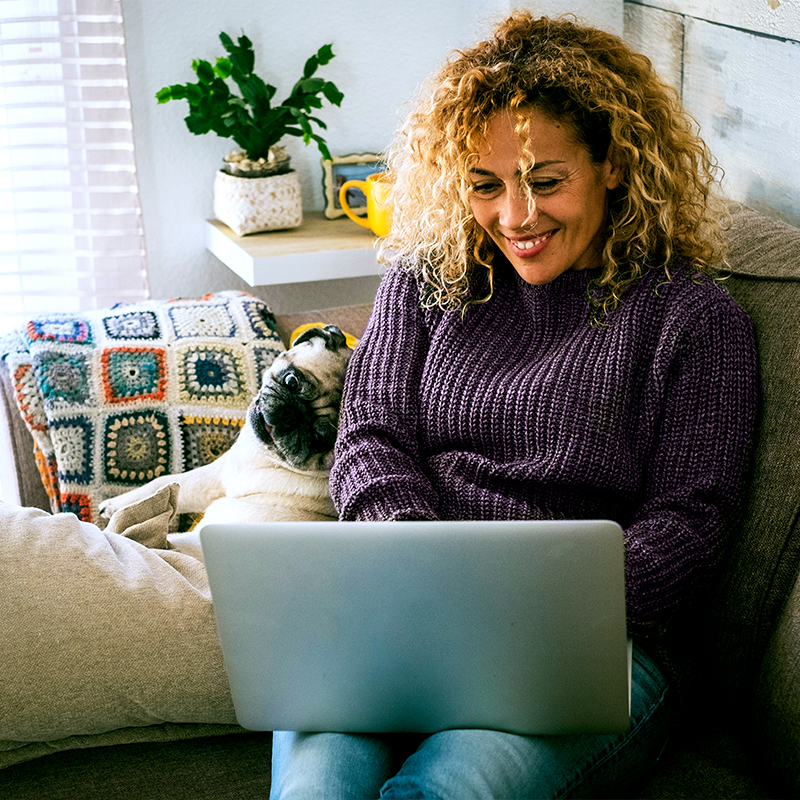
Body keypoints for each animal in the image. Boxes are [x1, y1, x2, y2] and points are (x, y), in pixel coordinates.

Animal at [97, 322, 354, 560]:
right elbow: (159, 483)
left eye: (320, 439)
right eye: (292, 381)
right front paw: (114, 505)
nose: (291, 415)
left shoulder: (217, 476)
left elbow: (162, 487)